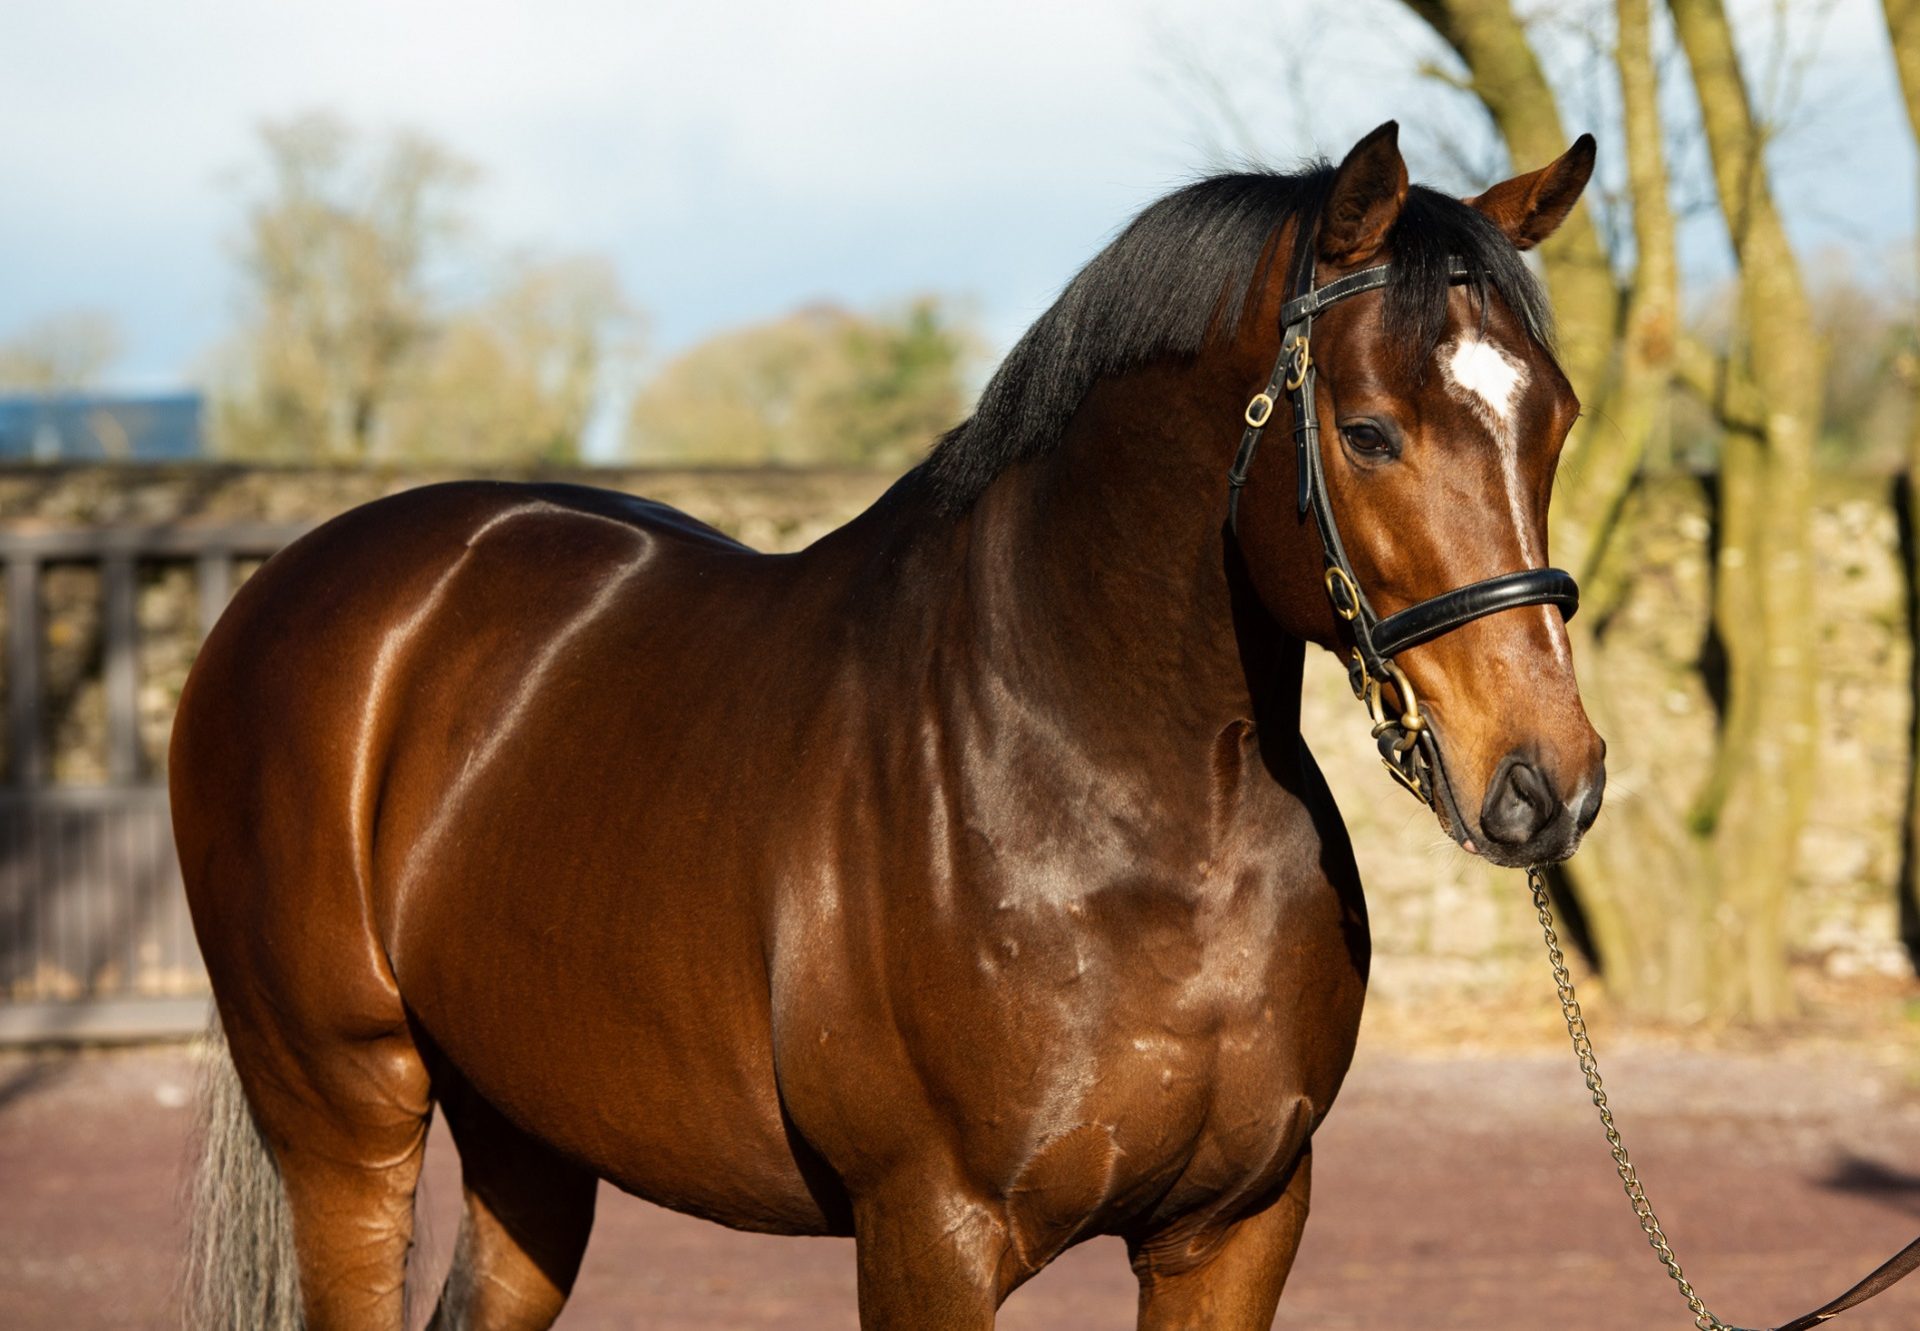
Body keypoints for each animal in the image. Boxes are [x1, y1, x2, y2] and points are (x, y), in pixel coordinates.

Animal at [176, 119, 1605, 1321]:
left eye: (1557, 419)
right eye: (1368, 432)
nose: (1549, 780)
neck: (1112, 800)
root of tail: (301, 586)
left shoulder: (1238, 1224)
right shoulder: (930, 1230)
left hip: (527, 1130)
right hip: (348, 1112)